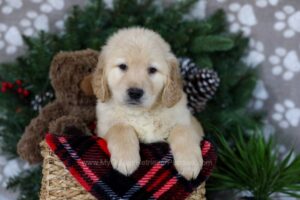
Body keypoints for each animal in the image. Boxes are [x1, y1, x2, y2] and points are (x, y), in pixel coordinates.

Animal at [91, 27, 204, 180]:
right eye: (122, 66)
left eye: (152, 70)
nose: (135, 93)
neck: (141, 113)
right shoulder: (103, 128)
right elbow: (120, 128)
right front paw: (126, 159)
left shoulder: (189, 121)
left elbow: (183, 130)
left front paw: (189, 163)